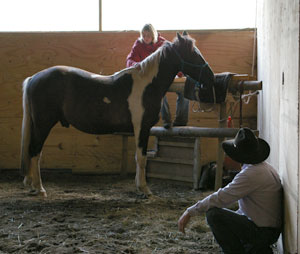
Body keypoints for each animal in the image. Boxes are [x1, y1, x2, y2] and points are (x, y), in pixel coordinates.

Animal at [19, 32, 216, 197]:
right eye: (193, 53)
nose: (211, 76)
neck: (147, 85)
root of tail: (33, 78)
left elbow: (139, 158)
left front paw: (139, 187)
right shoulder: (142, 128)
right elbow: (141, 158)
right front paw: (144, 189)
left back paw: (33, 186)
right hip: (43, 124)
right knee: (35, 151)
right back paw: (40, 189)